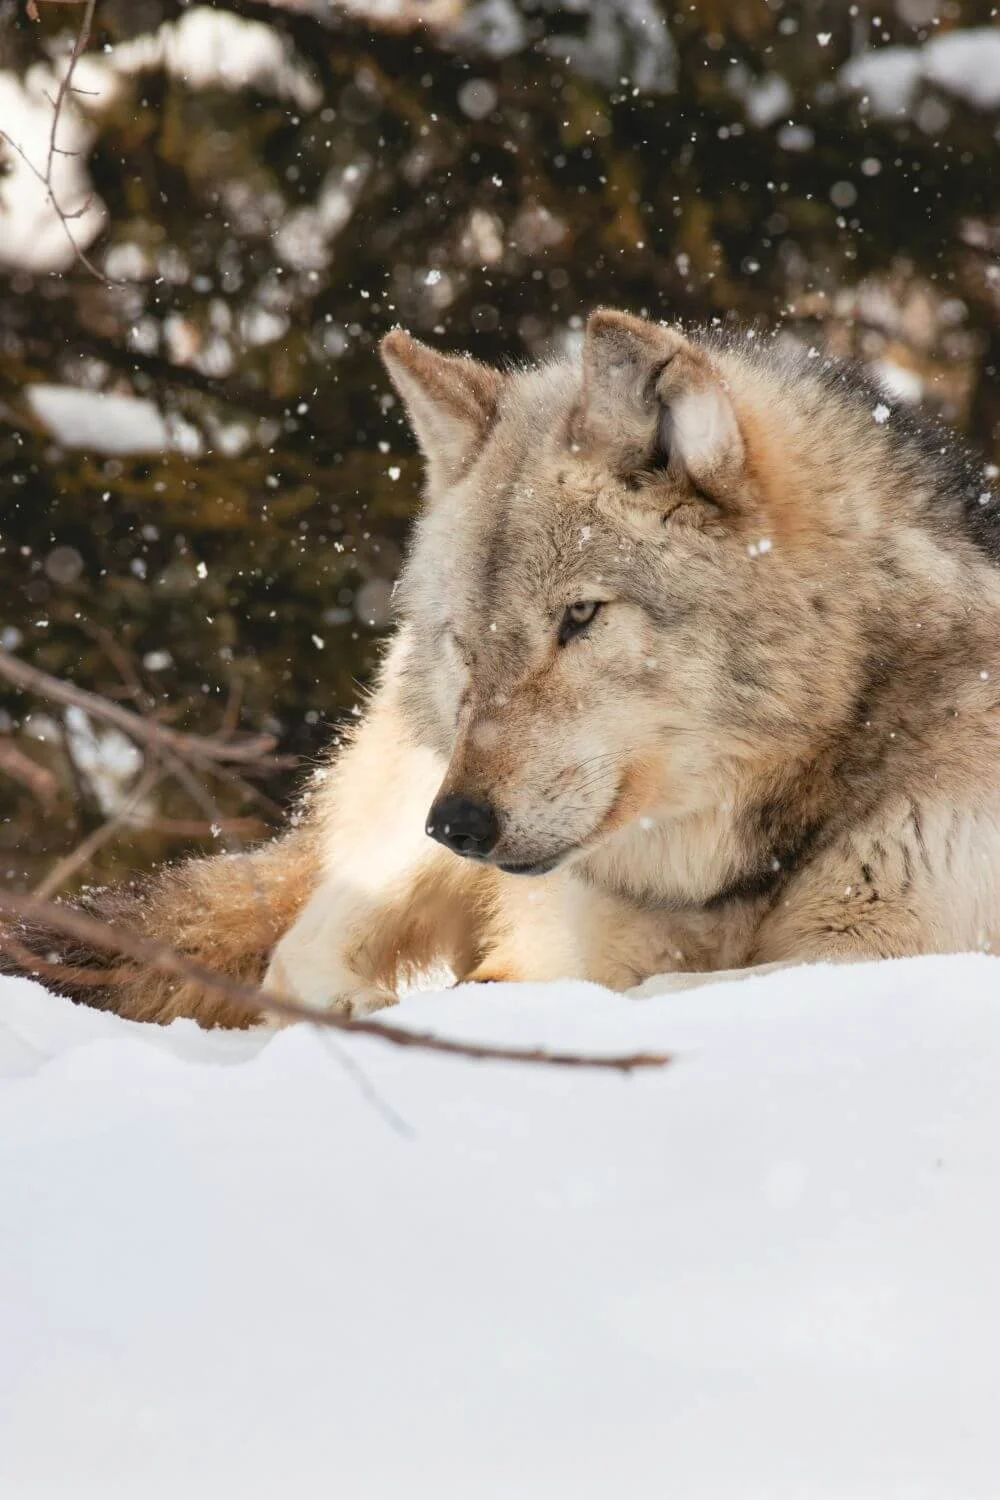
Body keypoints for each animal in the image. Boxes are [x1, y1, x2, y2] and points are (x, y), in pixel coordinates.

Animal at [9, 307, 1000, 1024]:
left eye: (579, 617)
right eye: (467, 639)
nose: (458, 824)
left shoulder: (888, 947)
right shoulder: (590, 941)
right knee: (300, 951)